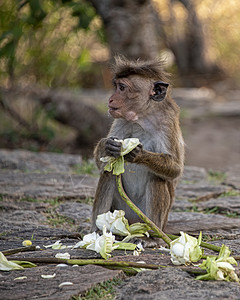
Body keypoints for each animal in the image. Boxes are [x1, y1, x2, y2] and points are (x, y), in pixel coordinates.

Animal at [91, 56, 185, 239]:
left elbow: (176, 169)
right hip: (121, 210)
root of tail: (133, 223)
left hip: (152, 219)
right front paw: (107, 146)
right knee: (108, 172)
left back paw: (153, 237)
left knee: (157, 178)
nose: (110, 99)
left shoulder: (167, 121)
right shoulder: (120, 119)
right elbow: (102, 163)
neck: (142, 117)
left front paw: (138, 154)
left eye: (122, 88)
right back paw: (98, 230)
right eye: (116, 86)